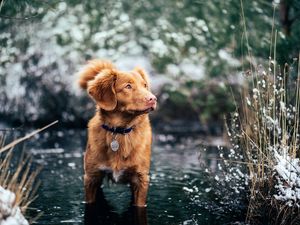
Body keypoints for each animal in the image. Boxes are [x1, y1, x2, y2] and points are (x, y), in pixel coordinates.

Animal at [77, 59, 157, 207]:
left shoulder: (141, 179)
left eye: (145, 85)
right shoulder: (91, 177)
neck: (119, 131)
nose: (153, 99)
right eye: (128, 86)